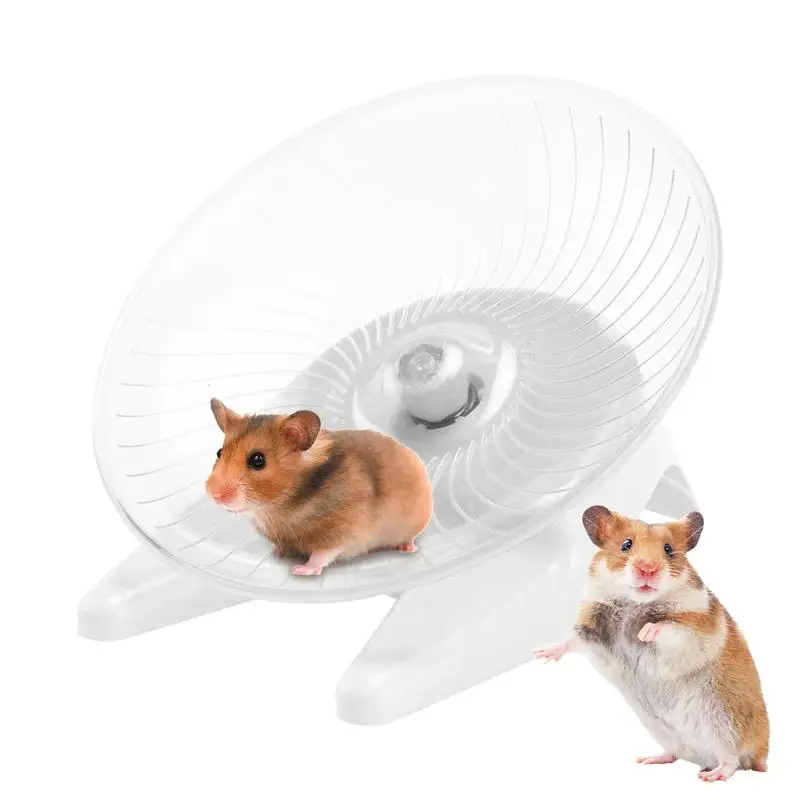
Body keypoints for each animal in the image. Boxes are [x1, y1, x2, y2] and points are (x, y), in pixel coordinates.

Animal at [205, 399, 433, 576]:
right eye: (219, 452)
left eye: (258, 460)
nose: (214, 494)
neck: (278, 507)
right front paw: (277, 554)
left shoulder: (342, 533)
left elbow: (322, 554)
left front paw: (300, 570)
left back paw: (408, 548)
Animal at [534, 506, 768, 782]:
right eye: (626, 544)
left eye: (668, 549)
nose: (648, 569)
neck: (635, 602)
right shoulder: (592, 626)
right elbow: (571, 641)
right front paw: (541, 653)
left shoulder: (695, 626)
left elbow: (669, 628)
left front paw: (645, 632)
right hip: (662, 730)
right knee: (674, 753)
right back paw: (649, 759)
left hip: (725, 724)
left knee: (732, 761)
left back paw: (711, 776)